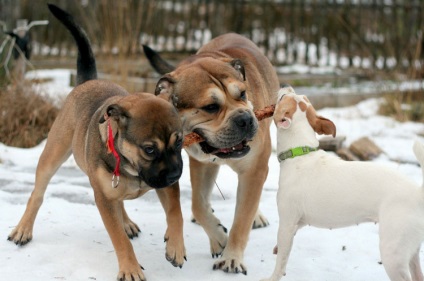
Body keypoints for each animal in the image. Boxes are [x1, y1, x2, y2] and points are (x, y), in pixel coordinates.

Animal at [7, 4, 186, 280]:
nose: (176, 175)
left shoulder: (165, 185)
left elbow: (176, 212)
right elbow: (118, 239)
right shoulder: (104, 197)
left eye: (179, 143)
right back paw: (23, 228)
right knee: (37, 193)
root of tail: (87, 81)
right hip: (53, 154)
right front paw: (130, 268)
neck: (130, 165)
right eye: (149, 149)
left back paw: (127, 220)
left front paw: (176, 246)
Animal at [144, 33, 280, 274]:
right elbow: (197, 204)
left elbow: (241, 220)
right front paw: (217, 237)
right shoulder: (201, 164)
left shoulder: (254, 169)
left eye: (243, 93)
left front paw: (231, 257)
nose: (245, 119)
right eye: (210, 107)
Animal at [262, 86, 424, 280]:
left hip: (393, 252)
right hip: (411, 251)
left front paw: (273, 276)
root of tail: (418, 193)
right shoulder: (298, 221)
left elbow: (281, 259)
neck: (300, 152)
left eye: (283, 97)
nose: (288, 87)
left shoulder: (287, 223)